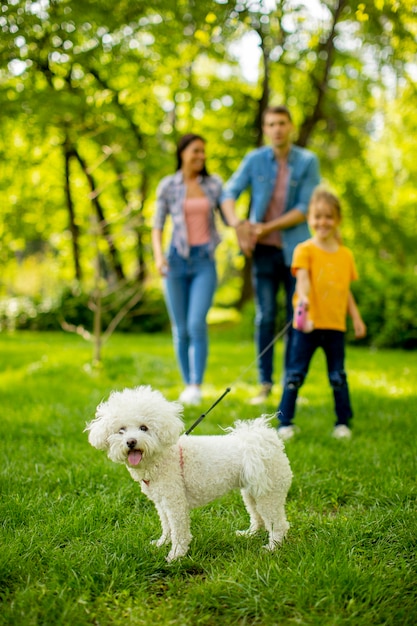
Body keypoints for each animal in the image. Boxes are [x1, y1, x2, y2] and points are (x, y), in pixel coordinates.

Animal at [86, 382, 290, 560]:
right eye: (121, 430)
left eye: (144, 428)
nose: (131, 442)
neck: (162, 458)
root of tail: (265, 442)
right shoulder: (162, 503)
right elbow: (167, 526)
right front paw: (161, 543)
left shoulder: (175, 502)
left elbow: (179, 531)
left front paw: (176, 555)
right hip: (251, 492)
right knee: (257, 516)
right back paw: (250, 534)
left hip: (269, 493)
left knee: (278, 524)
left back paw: (273, 547)